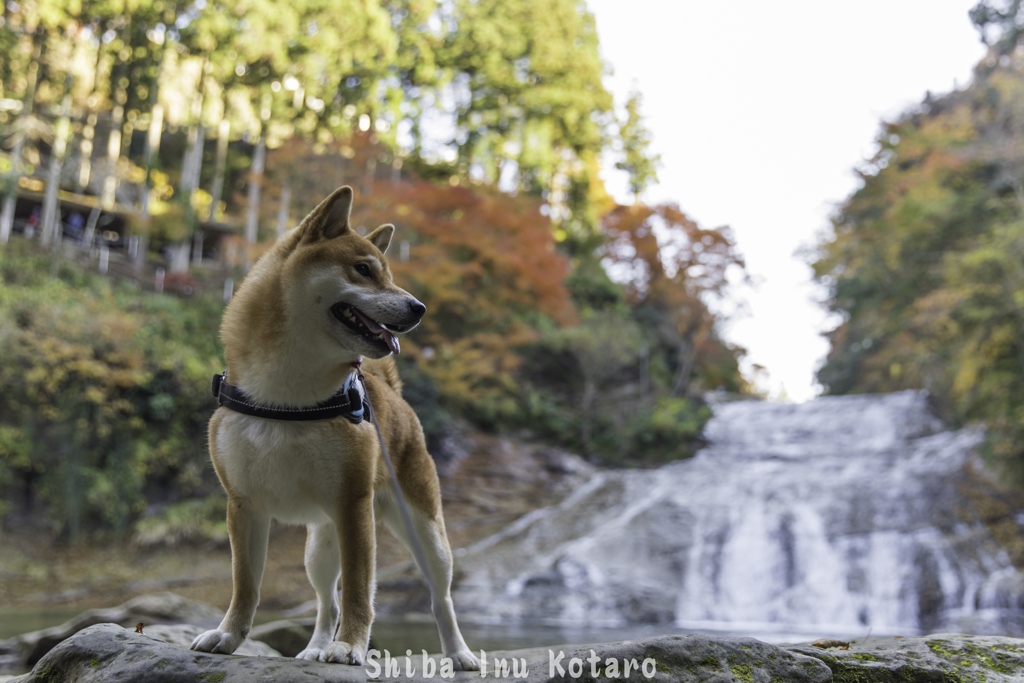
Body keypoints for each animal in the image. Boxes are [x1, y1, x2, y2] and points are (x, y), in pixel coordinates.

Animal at [189, 185, 479, 667]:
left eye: (388, 275)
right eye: (363, 270)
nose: (419, 307)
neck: (289, 398)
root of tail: (393, 395)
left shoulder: (353, 505)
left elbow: (361, 589)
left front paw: (350, 646)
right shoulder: (244, 506)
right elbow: (245, 586)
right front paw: (228, 636)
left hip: (425, 534)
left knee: (441, 599)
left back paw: (459, 654)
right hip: (318, 549)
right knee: (327, 601)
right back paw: (315, 647)